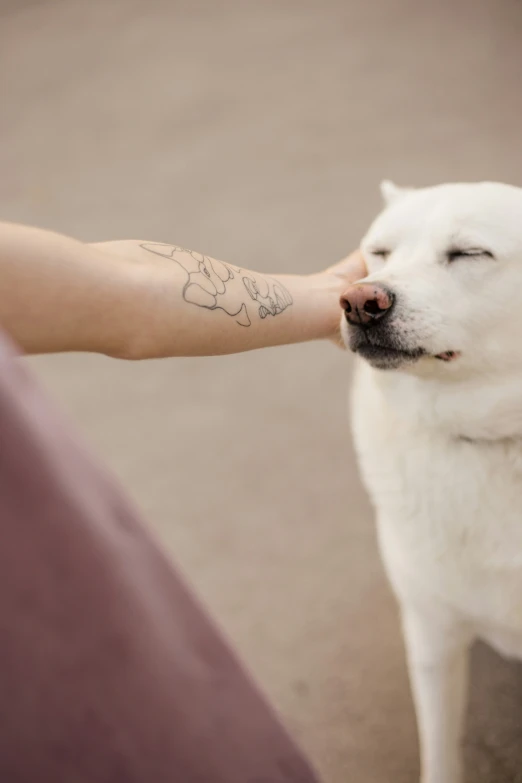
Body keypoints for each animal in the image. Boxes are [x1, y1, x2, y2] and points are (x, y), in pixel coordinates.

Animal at [340, 181, 520, 783]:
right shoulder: (432, 635)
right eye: (380, 252)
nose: (360, 302)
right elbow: (439, 750)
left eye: (468, 253)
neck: (496, 441)